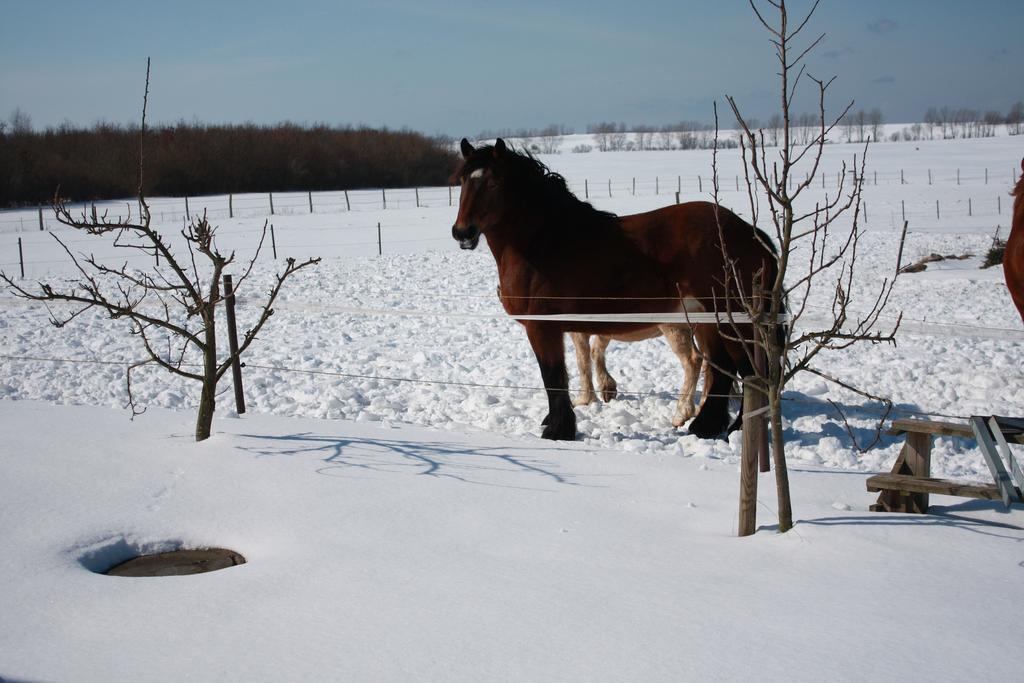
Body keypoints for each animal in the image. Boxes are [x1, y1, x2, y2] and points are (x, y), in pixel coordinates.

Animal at [452, 137, 778, 444]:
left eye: (494, 182)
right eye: (463, 180)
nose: (462, 233)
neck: (545, 242)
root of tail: (751, 233)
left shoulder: (543, 327)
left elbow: (554, 377)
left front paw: (558, 430)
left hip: (730, 321)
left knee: (748, 372)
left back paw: (733, 429)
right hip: (707, 322)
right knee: (721, 369)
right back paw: (705, 426)